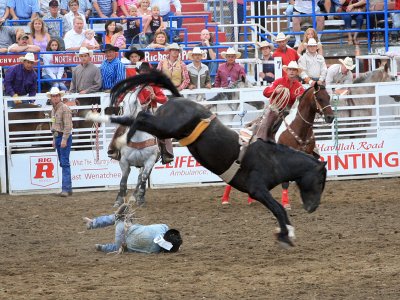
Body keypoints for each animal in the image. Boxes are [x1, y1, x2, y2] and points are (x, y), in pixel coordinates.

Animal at [86, 71, 326, 248]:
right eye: (321, 181)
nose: (313, 208)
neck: (274, 159)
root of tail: (179, 98)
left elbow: (279, 210)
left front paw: (286, 232)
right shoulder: (258, 190)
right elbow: (278, 209)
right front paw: (286, 235)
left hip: (163, 127)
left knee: (134, 118)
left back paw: (98, 117)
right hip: (166, 127)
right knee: (141, 117)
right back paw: (122, 137)